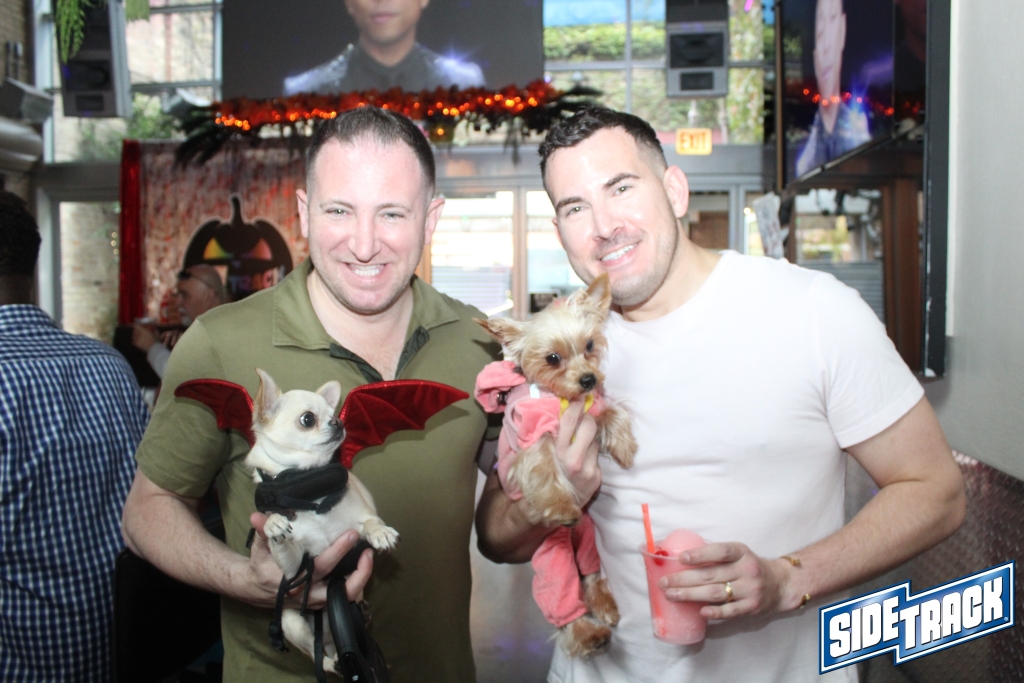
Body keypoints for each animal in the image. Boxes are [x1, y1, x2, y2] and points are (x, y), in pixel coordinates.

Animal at [246, 368, 398, 672]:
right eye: (308, 419)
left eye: (335, 413)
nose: (338, 421)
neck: (311, 497)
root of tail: (327, 635)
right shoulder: (294, 569)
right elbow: (283, 544)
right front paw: (273, 523)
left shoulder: (362, 515)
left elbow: (370, 522)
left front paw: (381, 533)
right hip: (291, 622)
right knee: (317, 655)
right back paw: (335, 663)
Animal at [475, 273, 637, 657]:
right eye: (552, 358)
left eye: (589, 345)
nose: (589, 379)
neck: (561, 399)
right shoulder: (533, 439)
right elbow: (545, 467)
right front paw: (561, 505)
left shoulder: (593, 407)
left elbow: (613, 411)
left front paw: (624, 446)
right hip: (550, 549)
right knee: (560, 592)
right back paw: (586, 633)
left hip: (590, 533)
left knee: (590, 570)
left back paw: (603, 602)